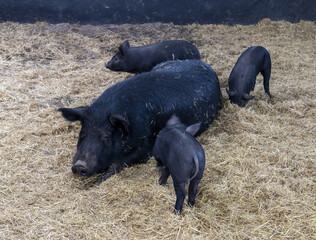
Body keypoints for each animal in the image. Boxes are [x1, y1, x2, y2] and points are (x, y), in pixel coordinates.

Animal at [59, 59, 222, 184]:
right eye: (83, 133)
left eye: (106, 136)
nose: (80, 166)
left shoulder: (147, 146)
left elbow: (120, 163)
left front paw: (98, 182)